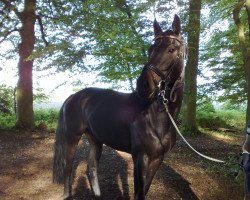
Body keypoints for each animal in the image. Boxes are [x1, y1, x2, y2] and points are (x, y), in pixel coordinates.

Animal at [52, 14, 186, 199]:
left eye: (171, 49)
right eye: (150, 49)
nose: (143, 85)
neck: (157, 116)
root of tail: (74, 97)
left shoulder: (158, 159)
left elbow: (144, 190)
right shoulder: (140, 158)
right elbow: (138, 193)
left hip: (95, 139)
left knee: (91, 168)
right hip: (72, 137)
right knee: (68, 167)